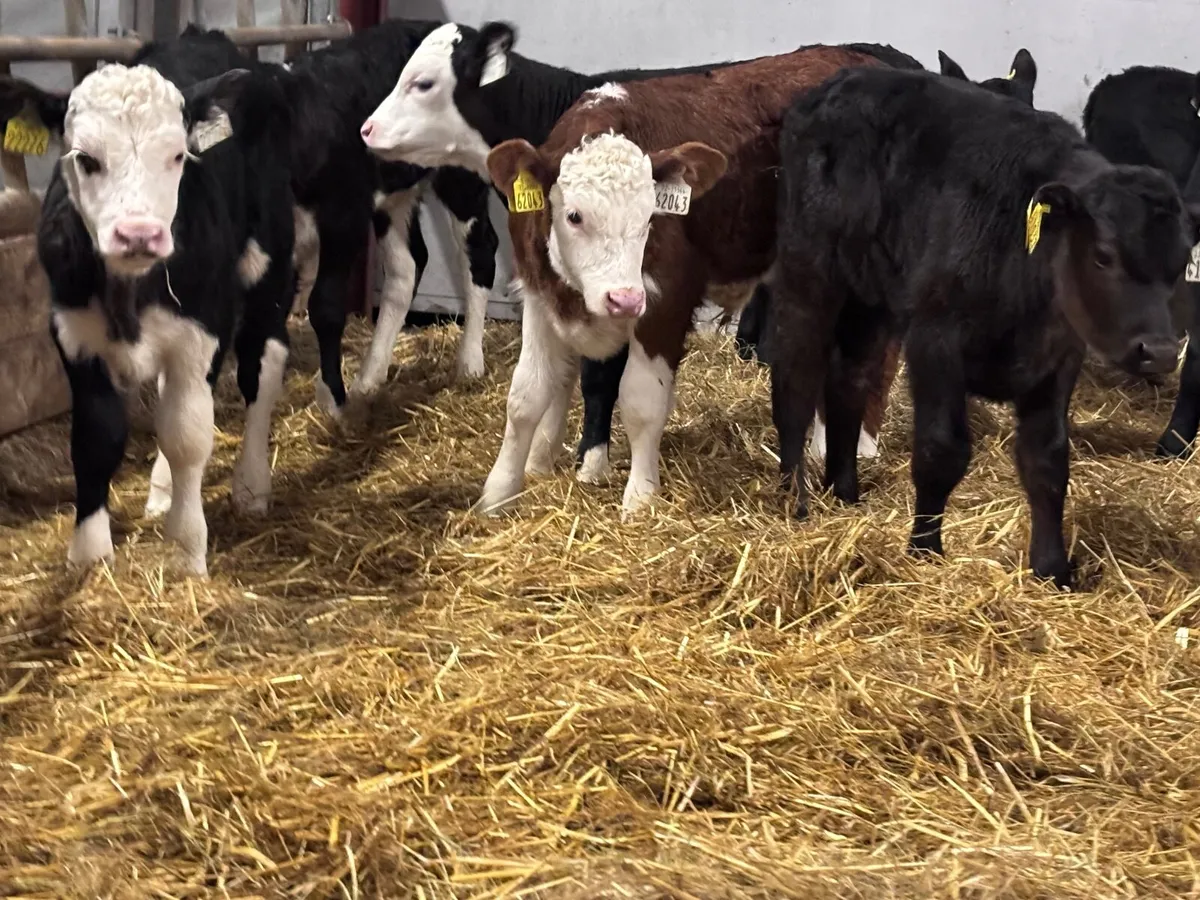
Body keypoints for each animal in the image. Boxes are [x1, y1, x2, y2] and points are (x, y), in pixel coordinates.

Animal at [0, 48, 298, 575]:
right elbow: (96, 438)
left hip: (269, 265)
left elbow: (188, 437)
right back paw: (162, 490)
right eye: (86, 158)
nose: (138, 233)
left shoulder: (202, 328)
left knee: (262, 365)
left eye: (179, 155)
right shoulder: (74, 334)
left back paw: (251, 484)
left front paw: (186, 549)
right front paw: (90, 554)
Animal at [361, 23, 921, 483]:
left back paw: (860, 447)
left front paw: (590, 464)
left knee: (878, 352)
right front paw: (544, 459)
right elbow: (557, 380)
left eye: (423, 83)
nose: (366, 129)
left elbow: (604, 380)